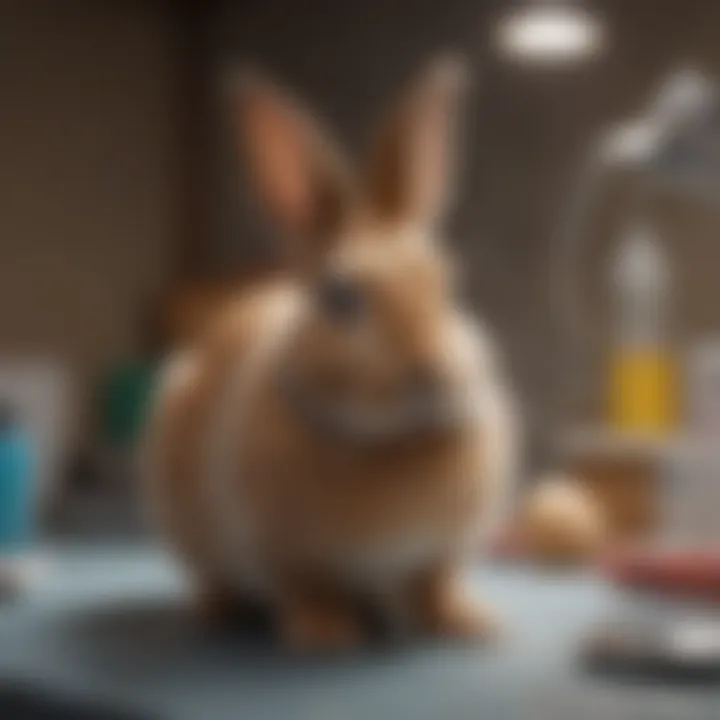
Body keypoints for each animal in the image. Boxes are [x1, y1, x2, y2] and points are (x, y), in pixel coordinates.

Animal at [145, 56, 516, 652]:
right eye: (339, 297)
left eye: (446, 281)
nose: (434, 373)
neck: (392, 443)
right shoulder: (290, 557)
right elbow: (310, 590)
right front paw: (327, 635)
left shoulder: (439, 553)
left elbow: (436, 586)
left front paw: (469, 624)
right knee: (212, 579)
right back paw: (216, 611)